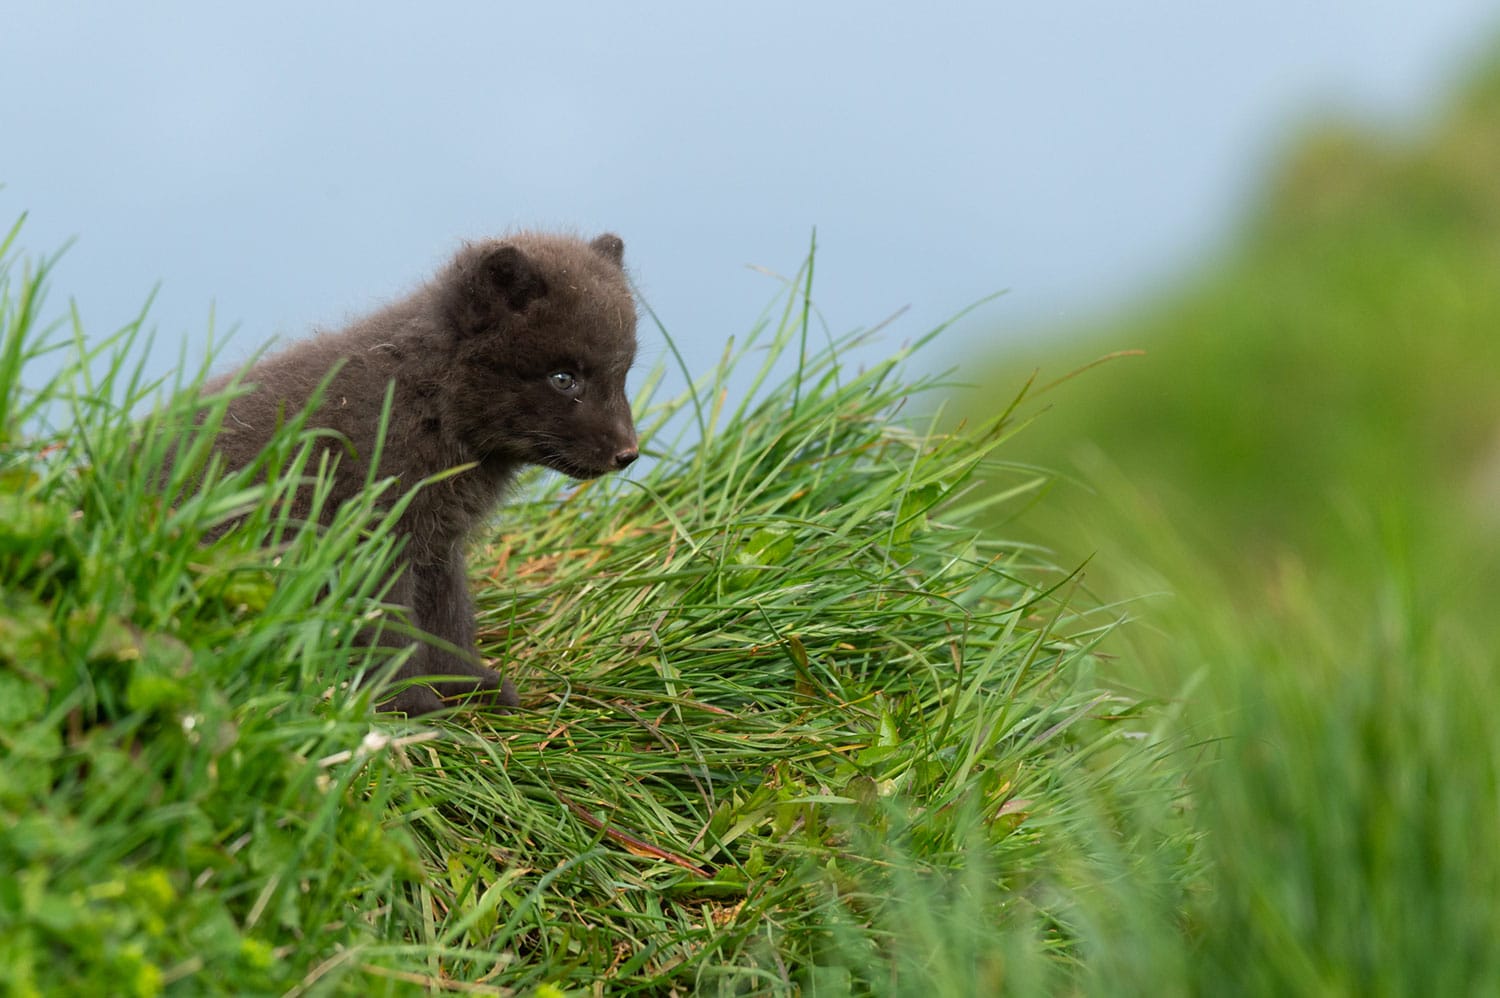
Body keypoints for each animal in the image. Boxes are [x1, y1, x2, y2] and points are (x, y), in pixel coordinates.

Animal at [201, 231, 639, 717]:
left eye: (622, 374)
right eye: (564, 378)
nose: (628, 454)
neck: (430, 399)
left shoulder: (438, 542)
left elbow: (448, 618)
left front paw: (468, 685)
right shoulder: (375, 533)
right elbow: (390, 626)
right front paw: (408, 703)